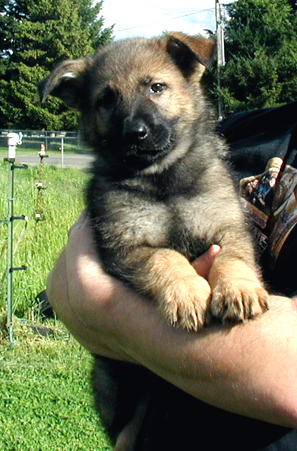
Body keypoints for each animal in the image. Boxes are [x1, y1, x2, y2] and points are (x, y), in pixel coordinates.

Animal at [39, 33, 268, 450]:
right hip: (116, 386)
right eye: (106, 100)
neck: (163, 180)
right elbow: (165, 257)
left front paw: (238, 290)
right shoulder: (125, 246)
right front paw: (187, 293)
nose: (135, 133)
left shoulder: (229, 229)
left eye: (156, 87)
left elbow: (232, 260)